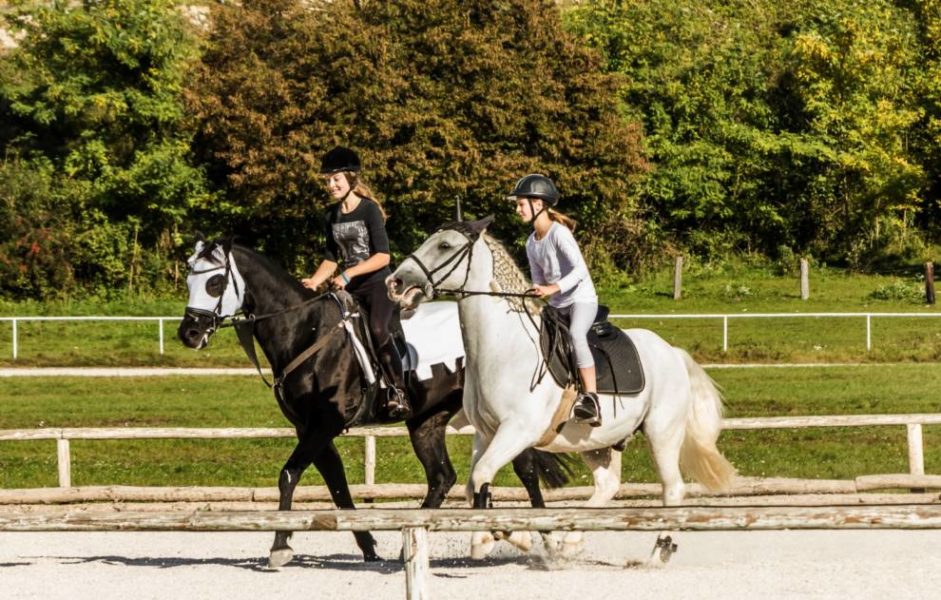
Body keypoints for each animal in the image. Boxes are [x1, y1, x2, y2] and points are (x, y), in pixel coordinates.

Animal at [177, 237, 573, 568]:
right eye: (189, 281)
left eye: (214, 283)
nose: (189, 333)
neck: (305, 330)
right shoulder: (310, 428)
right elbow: (338, 487)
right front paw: (368, 546)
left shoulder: (326, 423)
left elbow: (289, 475)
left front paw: (280, 547)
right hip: (426, 420)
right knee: (442, 476)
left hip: (504, 417)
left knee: (524, 471)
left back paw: (548, 543)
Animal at [387, 217, 736, 559]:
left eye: (445, 245)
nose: (396, 282)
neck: (502, 347)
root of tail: (672, 352)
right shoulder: (486, 432)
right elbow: (474, 485)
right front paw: (490, 537)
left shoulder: (517, 431)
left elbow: (483, 475)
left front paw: (510, 533)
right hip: (597, 441)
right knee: (608, 485)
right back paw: (572, 539)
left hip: (662, 432)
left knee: (673, 488)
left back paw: (658, 551)